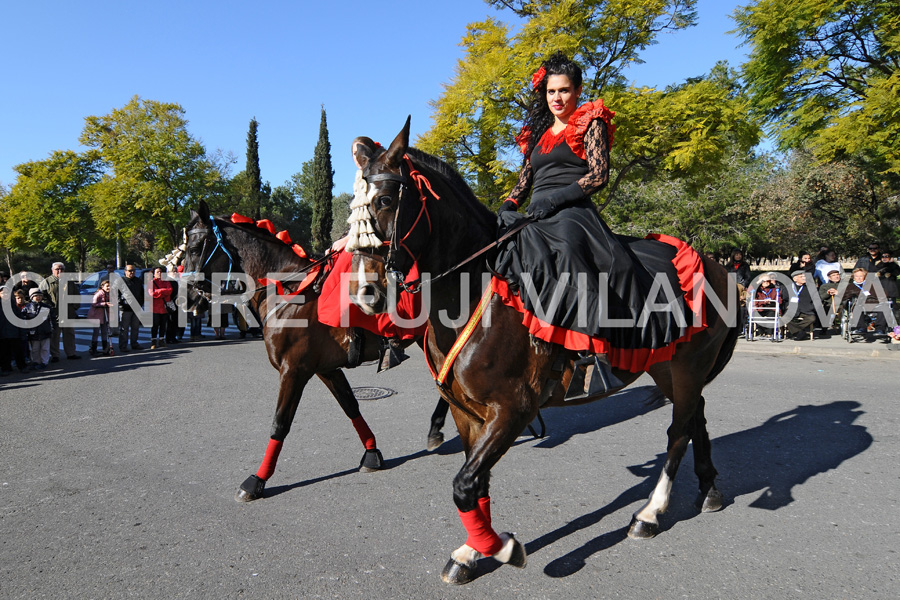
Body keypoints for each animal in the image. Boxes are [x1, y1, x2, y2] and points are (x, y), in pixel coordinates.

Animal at [178, 202, 450, 502]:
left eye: (195, 248)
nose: (186, 299)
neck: (289, 292)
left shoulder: (293, 371)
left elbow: (280, 423)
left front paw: (257, 480)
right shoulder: (326, 369)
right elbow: (350, 406)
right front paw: (371, 453)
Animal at [344, 119, 740, 584]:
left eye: (386, 199)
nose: (364, 293)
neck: (472, 290)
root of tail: (716, 266)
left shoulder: (513, 408)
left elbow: (464, 486)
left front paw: (502, 548)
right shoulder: (467, 412)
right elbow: (475, 484)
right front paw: (473, 551)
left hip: (686, 367)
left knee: (678, 431)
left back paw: (650, 513)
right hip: (668, 367)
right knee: (695, 417)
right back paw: (709, 489)